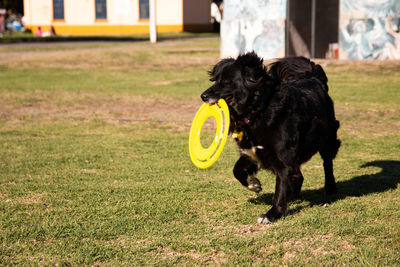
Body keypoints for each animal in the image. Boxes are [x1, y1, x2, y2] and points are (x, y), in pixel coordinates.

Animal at [202, 51, 340, 224]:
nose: (203, 96)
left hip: (327, 139)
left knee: (327, 163)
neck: (257, 111)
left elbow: (280, 188)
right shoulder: (253, 153)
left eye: (227, 82)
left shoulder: (283, 161)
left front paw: (272, 214)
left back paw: (330, 187)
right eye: (215, 80)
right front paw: (253, 184)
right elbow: (236, 170)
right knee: (299, 176)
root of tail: (313, 78)